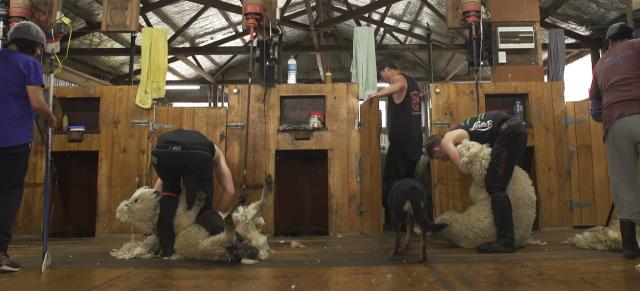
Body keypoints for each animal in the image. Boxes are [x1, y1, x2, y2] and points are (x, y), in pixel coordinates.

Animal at [110, 176, 272, 264]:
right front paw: (194, 195)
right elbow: (185, 213)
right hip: (208, 246)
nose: (156, 192)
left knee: (261, 206)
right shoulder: (176, 220)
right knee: (228, 237)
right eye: (135, 200)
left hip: (243, 221)